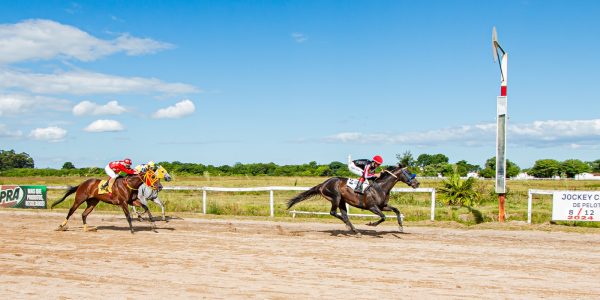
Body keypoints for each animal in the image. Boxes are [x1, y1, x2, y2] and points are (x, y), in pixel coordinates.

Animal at [284, 165, 418, 236]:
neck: (381, 187)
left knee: (344, 214)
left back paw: (354, 229)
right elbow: (383, 217)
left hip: (342, 201)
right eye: (408, 172)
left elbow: (396, 210)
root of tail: (322, 184)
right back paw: (348, 226)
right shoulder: (372, 207)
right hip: (336, 197)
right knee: (334, 213)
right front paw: (371, 224)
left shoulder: (382, 206)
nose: (417, 183)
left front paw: (400, 227)